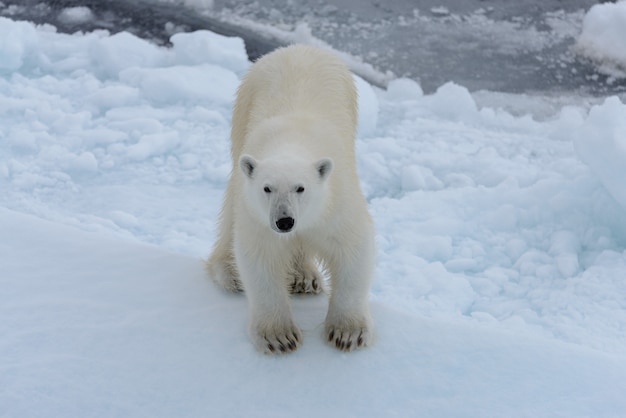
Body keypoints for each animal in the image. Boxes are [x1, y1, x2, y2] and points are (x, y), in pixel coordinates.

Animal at [207, 45, 372, 352]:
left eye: (300, 188)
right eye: (267, 188)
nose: (285, 221)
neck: (292, 141)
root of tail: (298, 47)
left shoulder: (337, 202)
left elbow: (352, 249)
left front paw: (348, 332)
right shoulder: (257, 214)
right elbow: (260, 257)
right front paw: (279, 337)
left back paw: (304, 277)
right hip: (244, 105)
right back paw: (230, 272)